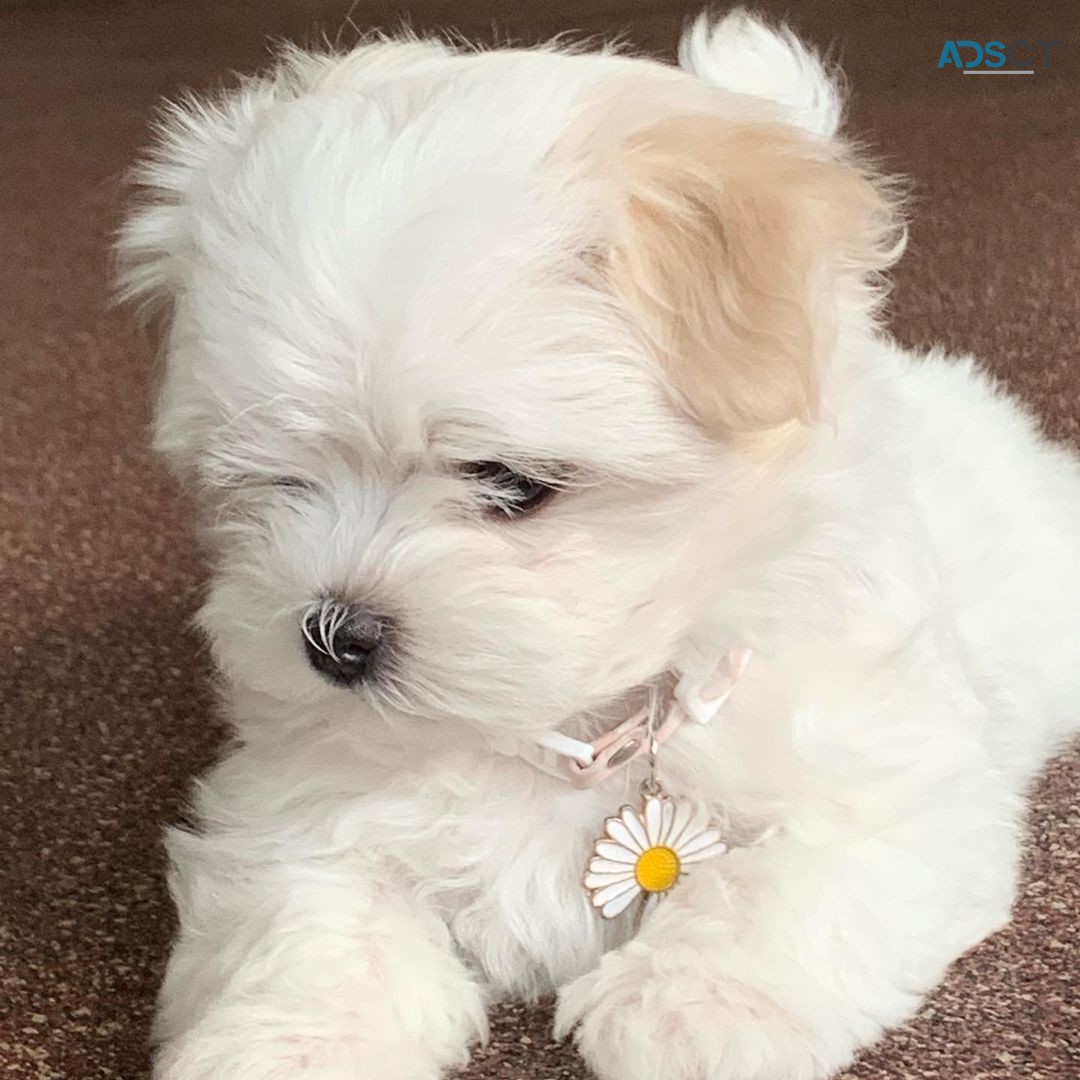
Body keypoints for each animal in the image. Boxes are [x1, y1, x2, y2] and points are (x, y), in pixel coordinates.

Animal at [118, 10, 1080, 1080]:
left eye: (510, 482)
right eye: (276, 476)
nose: (334, 637)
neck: (575, 721)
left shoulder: (892, 777)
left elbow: (793, 876)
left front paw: (690, 1005)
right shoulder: (296, 793)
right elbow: (310, 914)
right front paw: (295, 1041)